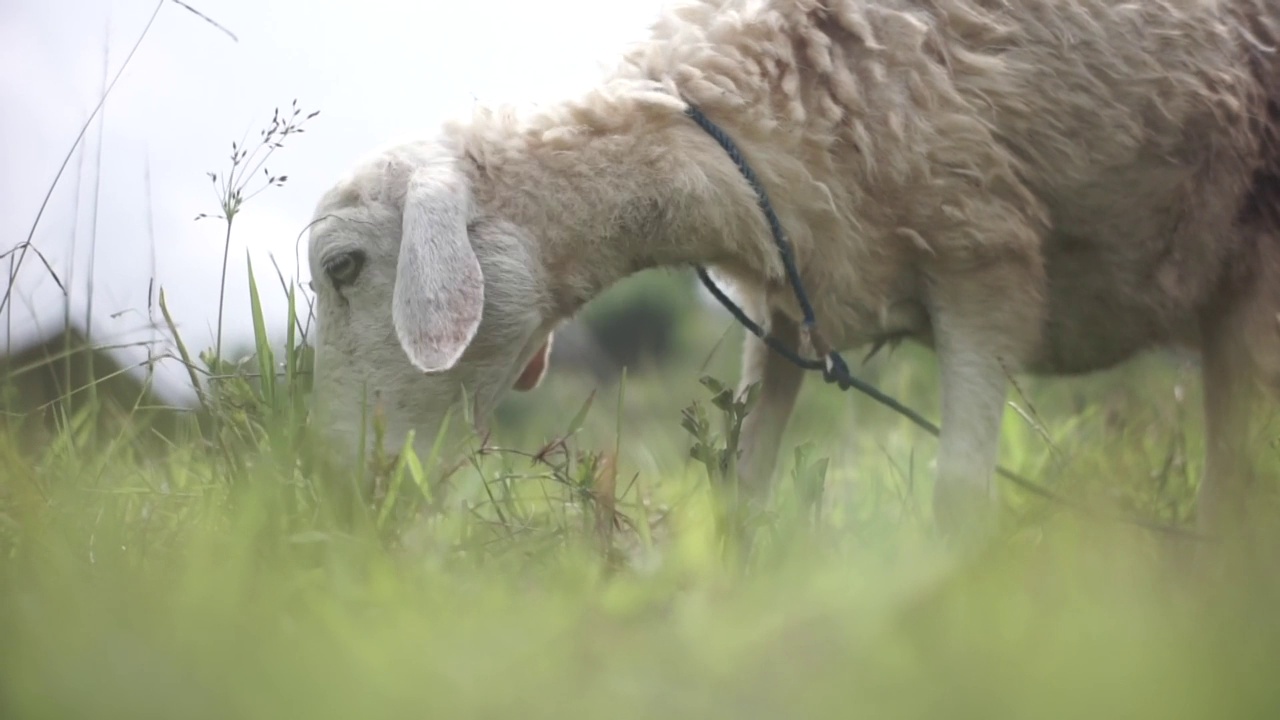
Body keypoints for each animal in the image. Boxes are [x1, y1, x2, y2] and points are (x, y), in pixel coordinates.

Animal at [304, 0, 1280, 540]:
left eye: (342, 265)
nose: (338, 494)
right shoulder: (789, 303)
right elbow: (743, 487)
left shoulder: (986, 257)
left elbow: (960, 499)